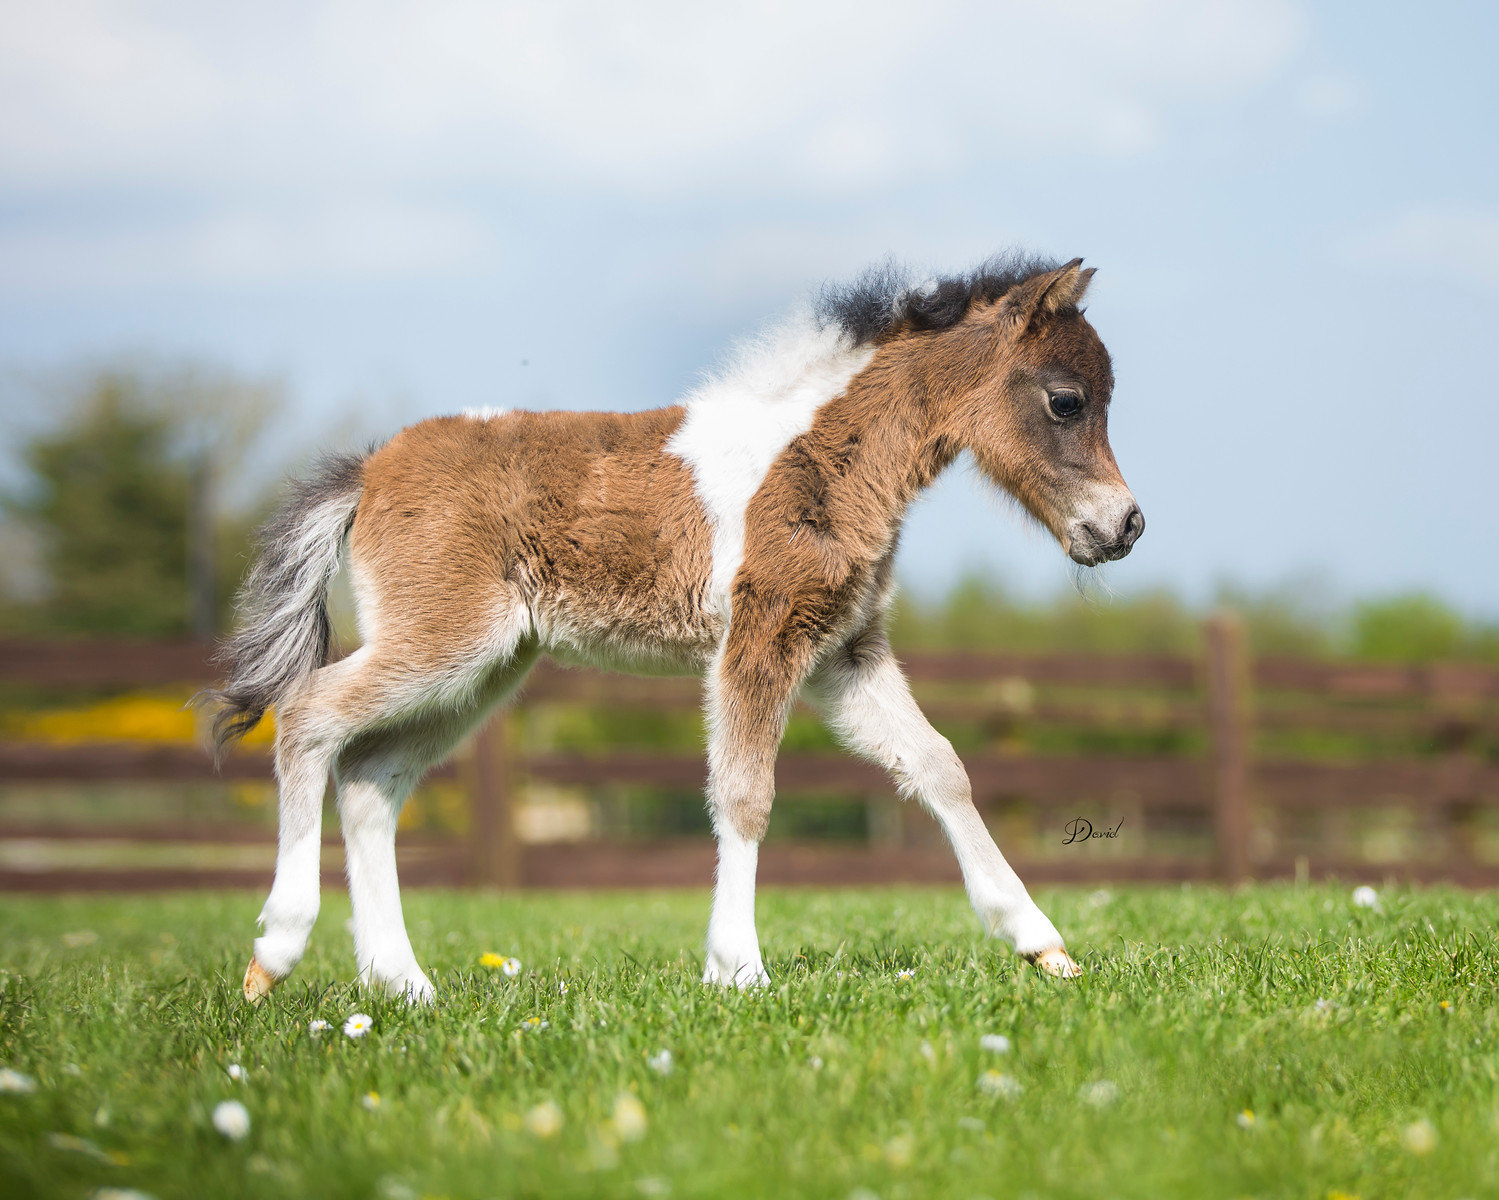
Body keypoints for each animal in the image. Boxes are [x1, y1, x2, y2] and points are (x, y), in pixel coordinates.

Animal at [201, 253, 1144, 1003]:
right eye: (1066, 401)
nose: (1124, 526)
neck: (819, 454)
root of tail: (368, 469)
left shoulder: (842, 651)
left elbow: (941, 768)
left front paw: (1041, 944)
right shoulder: (760, 637)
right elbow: (745, 792)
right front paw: (738, 968)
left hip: (485, 669)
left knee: (370, 777)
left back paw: (401, 984)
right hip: (442, 643)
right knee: (308, 716)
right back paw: (274, 956)